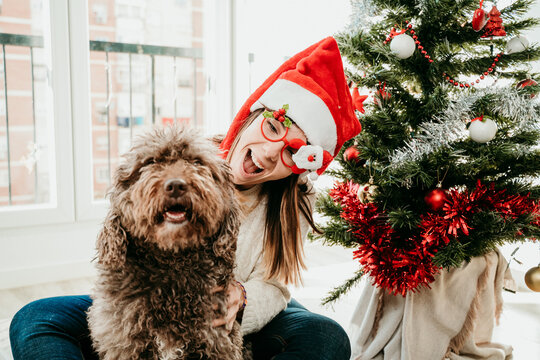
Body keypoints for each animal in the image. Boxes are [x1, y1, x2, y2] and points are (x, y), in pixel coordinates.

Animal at [88, 125, 243, 358]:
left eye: (197, 162)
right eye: (150, 162)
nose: (176, 185)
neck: (172, 261)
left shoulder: (218, 341)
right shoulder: (124, 342)